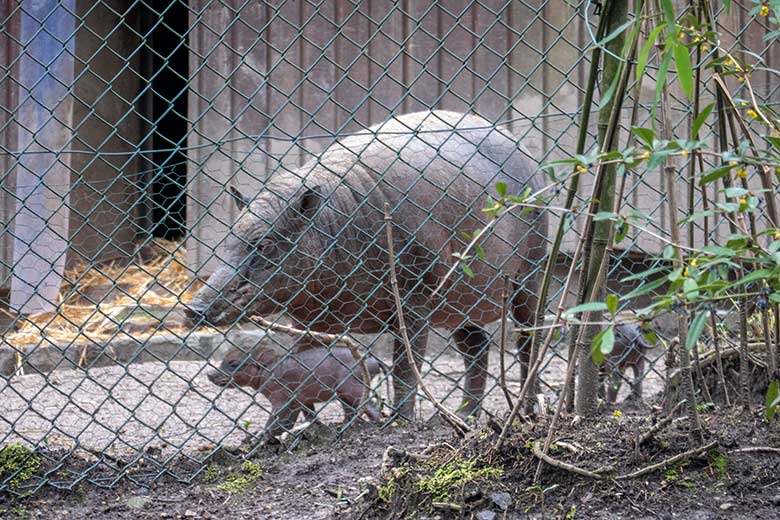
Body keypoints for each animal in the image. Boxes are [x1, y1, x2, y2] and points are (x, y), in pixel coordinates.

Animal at [186, 111, 548, 420]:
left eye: (264, 244)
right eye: (228, 239)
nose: (194, 309)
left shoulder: (414, 298)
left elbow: (405, 366)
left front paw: (400, 421)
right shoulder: (310, 321)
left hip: (530, 271)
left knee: (528, 338)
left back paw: (528, 410)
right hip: (458, 297)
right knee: (477, 345)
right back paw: (460, 416)